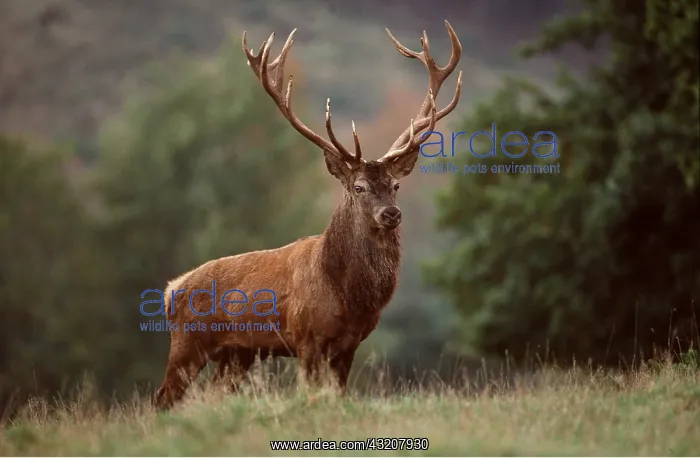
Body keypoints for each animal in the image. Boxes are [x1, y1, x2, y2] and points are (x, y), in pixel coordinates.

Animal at [153, 21, 463, 411]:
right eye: (358, 187)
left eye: (395, 185)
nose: (391, 213)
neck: (346, 296)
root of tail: (171, 290)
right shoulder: (305, 337)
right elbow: (311, 394)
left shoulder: (349, 345)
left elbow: (339, 394)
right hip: (188, 341)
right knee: (162, 396)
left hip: (236, 353)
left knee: (214, 394)